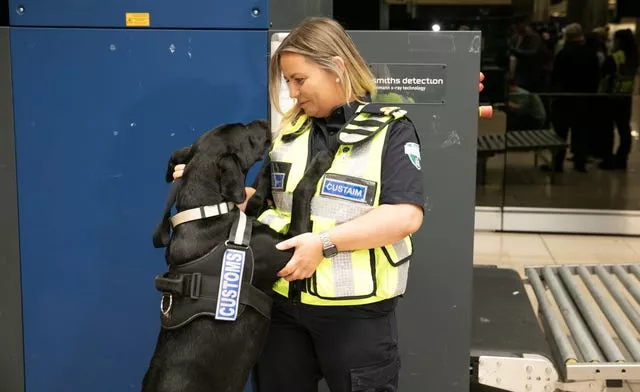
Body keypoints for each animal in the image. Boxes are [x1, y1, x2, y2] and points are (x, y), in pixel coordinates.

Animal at [142, 119, 332, 392]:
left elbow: (253, 200)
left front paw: (267, 170)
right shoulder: (292, 243)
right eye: (244, 131)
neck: (206, 211)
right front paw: (319, 160)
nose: (264, 121)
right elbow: (299, 192)